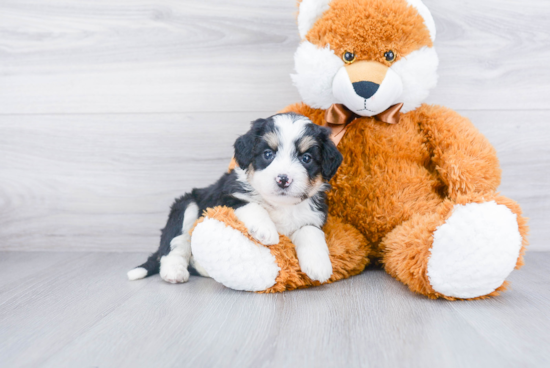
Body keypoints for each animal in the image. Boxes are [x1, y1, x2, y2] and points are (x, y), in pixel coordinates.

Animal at [129, 113, 344, 284]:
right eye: (268, 154)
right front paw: (266, 230)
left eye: (306, 158)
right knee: (174, 246)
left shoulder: (313, 216)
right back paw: (174, 272)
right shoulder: (225, 197)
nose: (283, 179)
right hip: (186, 206)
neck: (280, 205)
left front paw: (319, 265)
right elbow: (252, 205)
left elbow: (310, 232)